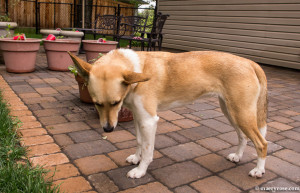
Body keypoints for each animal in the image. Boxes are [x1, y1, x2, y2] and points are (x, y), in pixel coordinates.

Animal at [69, 49, 268, 179]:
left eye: (116, 103)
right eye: (96, 103)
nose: (108, 129)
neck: (137, 68)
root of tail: (250, 62)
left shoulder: (149, 121)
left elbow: (148, 151)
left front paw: (140, 170)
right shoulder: (139, 118)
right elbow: (139, 142)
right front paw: (136, 158)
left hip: (241, 114)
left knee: (262, 143)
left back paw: (259, 170)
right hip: (232, 112)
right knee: (243, 137)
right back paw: (238, 156)